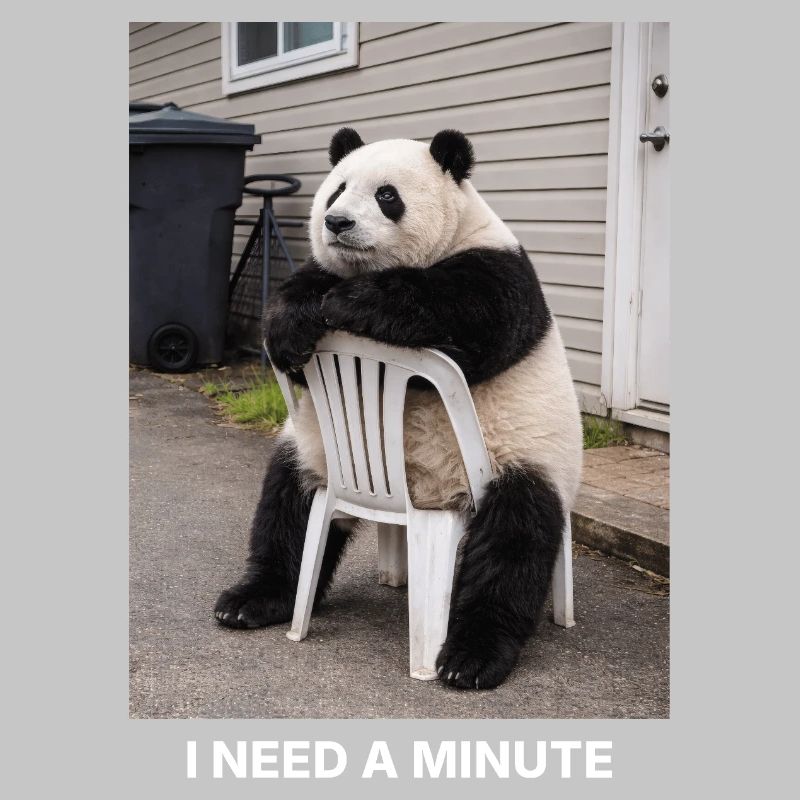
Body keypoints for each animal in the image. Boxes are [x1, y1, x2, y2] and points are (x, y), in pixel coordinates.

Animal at [215, 127, 583, 690]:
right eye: (338, 189)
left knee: (514, 537)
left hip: (524, 455)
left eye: (387, 196)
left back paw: (471, 657)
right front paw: (293, 323)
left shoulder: (498, 271)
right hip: (315, 451)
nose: (336, 222)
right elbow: (299, 312)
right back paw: (252, 600)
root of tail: (429, 494)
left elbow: (461, 320)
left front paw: (351, 303)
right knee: (287, 508)